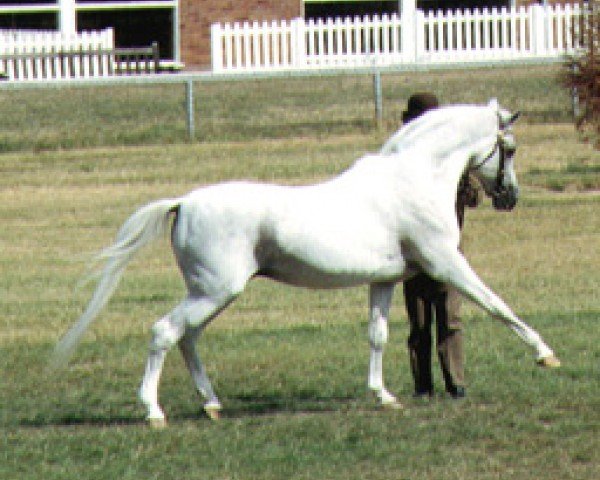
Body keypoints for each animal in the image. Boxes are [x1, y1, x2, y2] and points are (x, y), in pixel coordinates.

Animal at [54, 98, 560, 428]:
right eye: (510, 148)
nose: (510, 197)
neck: (411, 178)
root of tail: (185, 202)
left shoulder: (384, 281)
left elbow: (378, 336)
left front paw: (383, 397)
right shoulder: (447, 264)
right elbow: (498, 305)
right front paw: (545, 355)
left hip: (210, 293)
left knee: (188, 337)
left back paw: (212, 405)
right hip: (214, 291)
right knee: (164, 332)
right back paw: (154, 412)